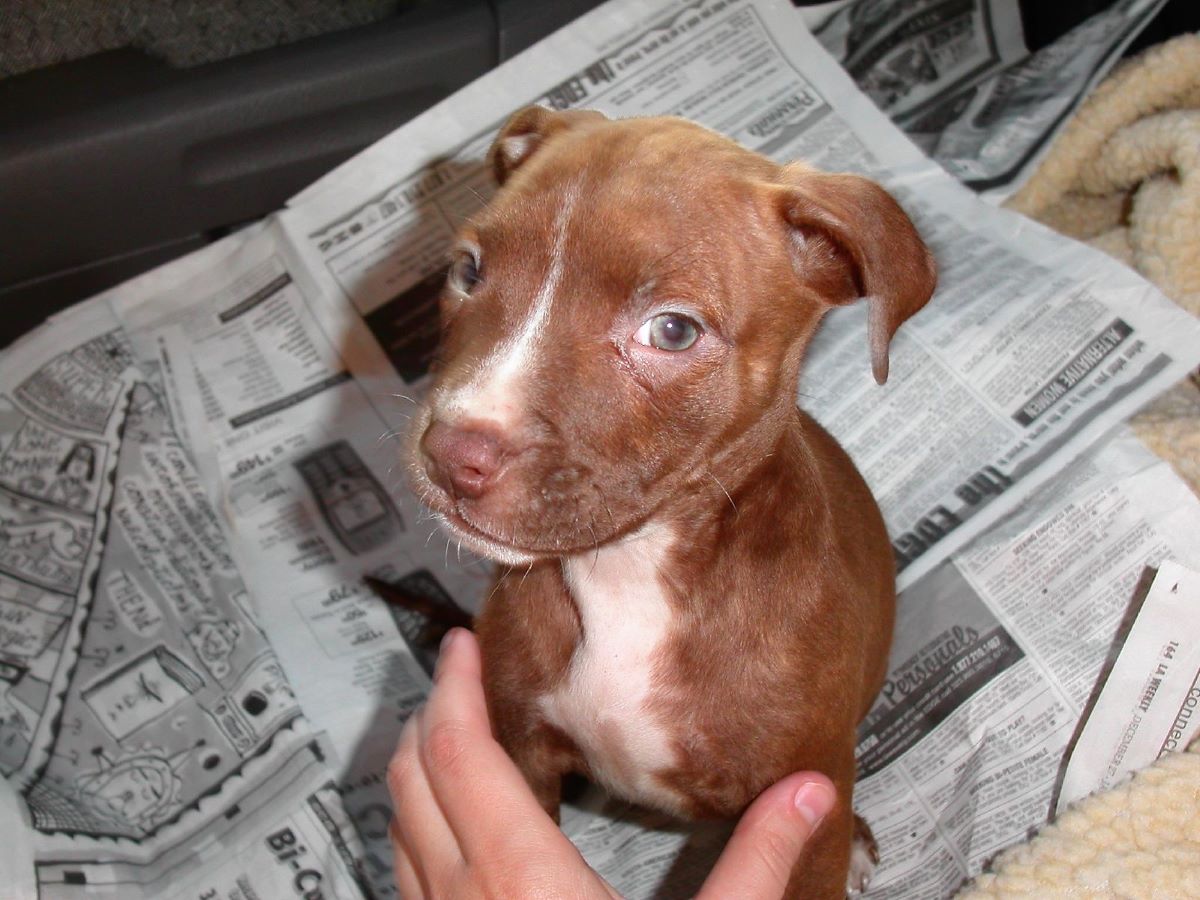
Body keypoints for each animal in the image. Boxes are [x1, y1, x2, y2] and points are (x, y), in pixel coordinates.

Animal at [405, 109, 936, 897]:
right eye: (468, 271)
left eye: (674, 329)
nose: (450, 453)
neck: (629, 571)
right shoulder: (519, 749)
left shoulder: (806, 801)